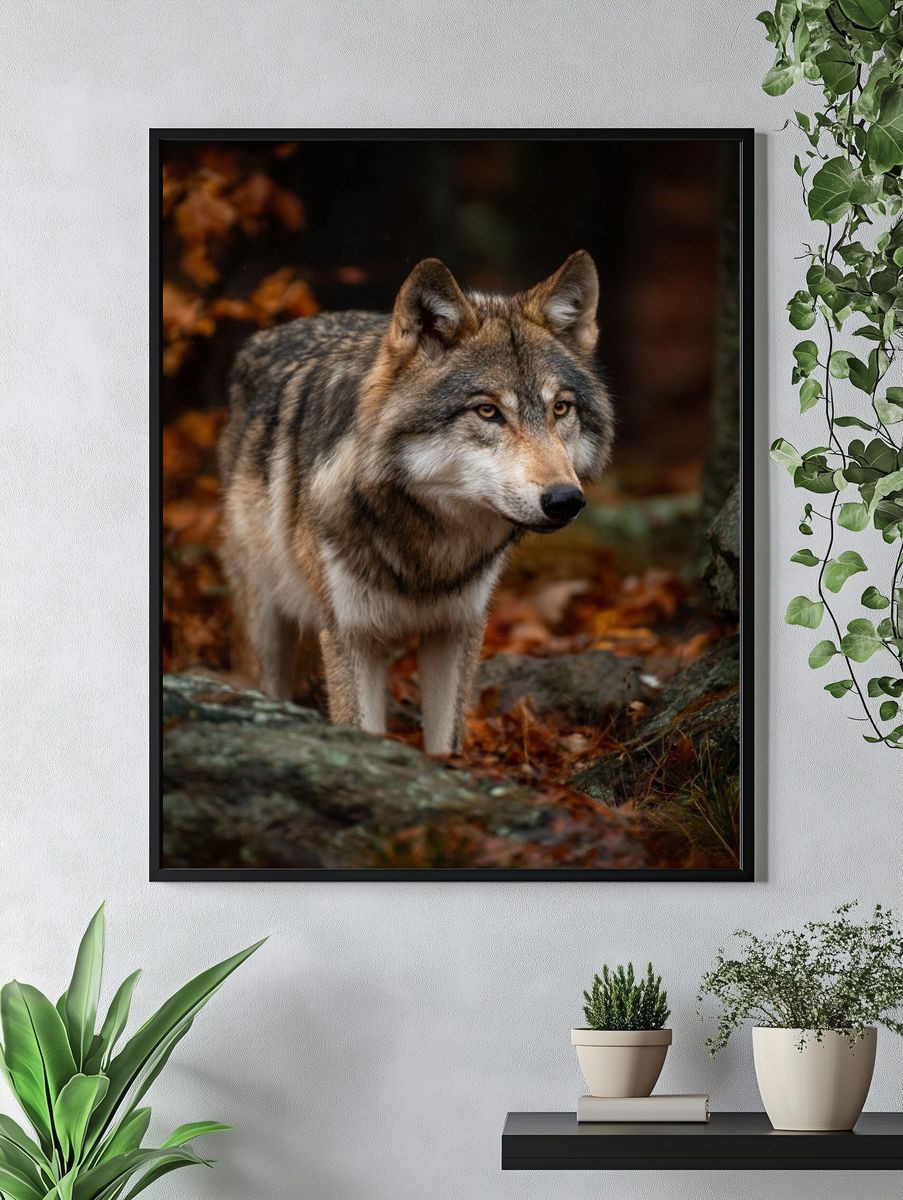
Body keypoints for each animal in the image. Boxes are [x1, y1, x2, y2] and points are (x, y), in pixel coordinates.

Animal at [218, 250, 614, 754]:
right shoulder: (350, 635)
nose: (564, 500)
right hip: (267, 624)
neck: (429, 549)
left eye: (560, 408)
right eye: (487, 411)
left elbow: (446, 744)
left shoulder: (457, 629)